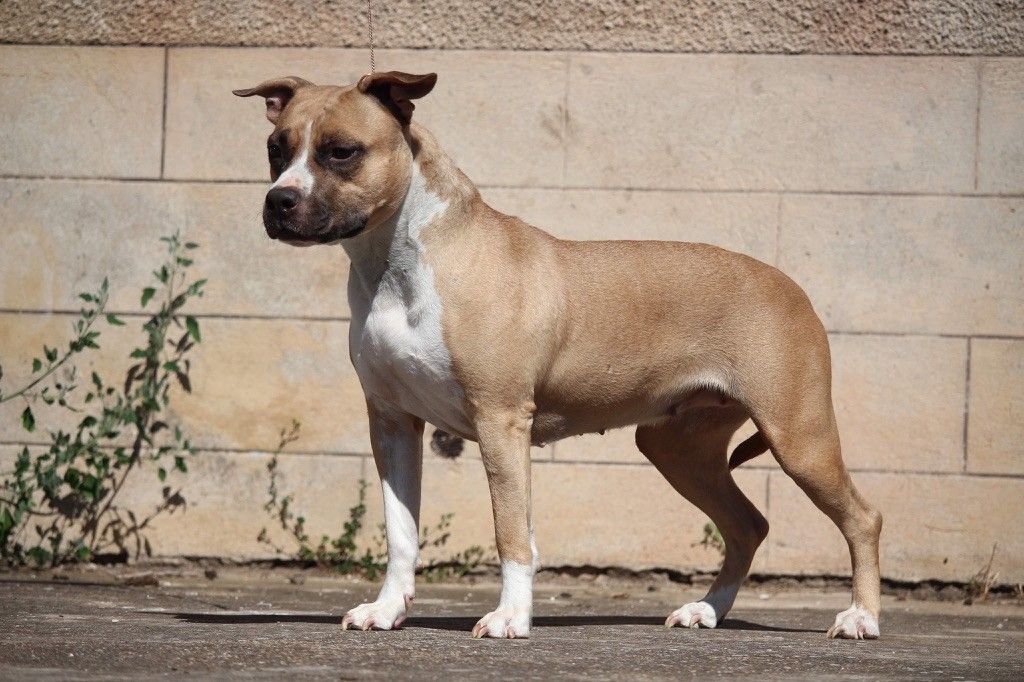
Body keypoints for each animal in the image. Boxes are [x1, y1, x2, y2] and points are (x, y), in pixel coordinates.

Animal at [235, 73, 884, 638]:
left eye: (342, 151)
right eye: (275, 149)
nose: (278, 201)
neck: (399, 261)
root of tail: (791, 286)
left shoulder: (500, 421)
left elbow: (512, 533)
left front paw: (510, 619)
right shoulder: (392, 422)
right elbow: (401, 532)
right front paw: (387, 610)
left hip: (798, 436)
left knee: (861, 518)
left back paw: (860, 618)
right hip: (679, 447)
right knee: (747, 524)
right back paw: (706, 610)